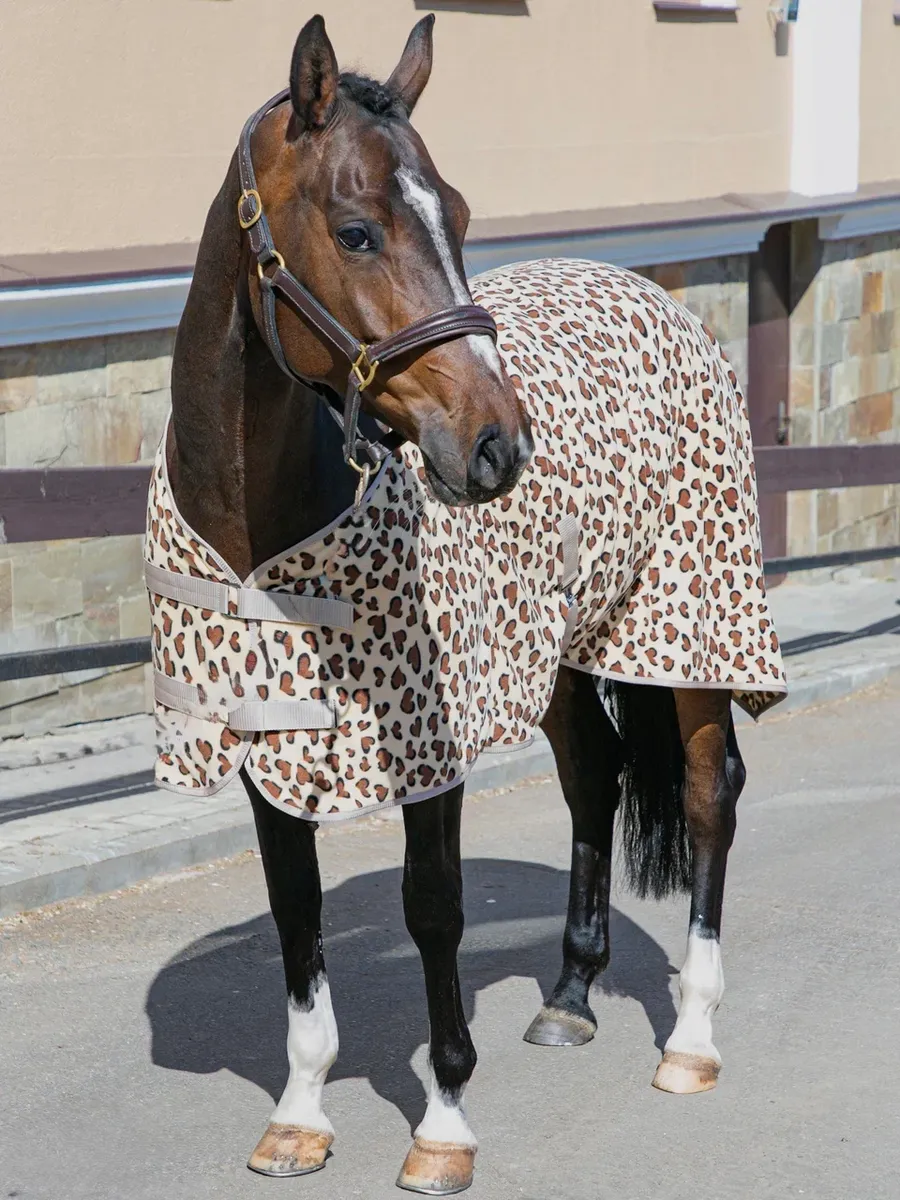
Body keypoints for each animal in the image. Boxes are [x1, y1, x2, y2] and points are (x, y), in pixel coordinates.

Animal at [153, 14, 785, 1194]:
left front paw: (444, 1122)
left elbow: (435, 907)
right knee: (594, 779)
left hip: (688, 626)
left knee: (707, 790)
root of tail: (650, 294)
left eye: (462, 214)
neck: (268, 533)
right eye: (356, 231)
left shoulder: (426, 745)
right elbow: (296, 912)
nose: (496, 446)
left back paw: (691, 1038)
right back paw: (572, 997)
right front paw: (299, 1115)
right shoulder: (265, 738)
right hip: (563, 651)